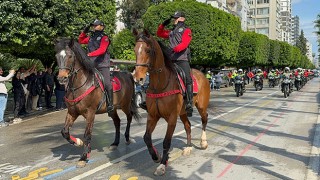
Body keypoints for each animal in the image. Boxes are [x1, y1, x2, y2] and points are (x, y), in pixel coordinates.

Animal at [54, 38, 139, 167]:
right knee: (117, 122)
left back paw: (128, 138)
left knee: (129, 117)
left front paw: (83, 157)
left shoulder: (90, 113)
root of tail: (127, 74)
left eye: (70, 56)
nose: (61, 78)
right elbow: (64, 131)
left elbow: (87, 134)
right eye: (57, 56)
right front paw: (78, 143)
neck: (79, 86)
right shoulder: (72, 112)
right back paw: (115, 143)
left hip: (125, 104)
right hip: (113, 109)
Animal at [132, 29, 210, 176]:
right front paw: (156, 156)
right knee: (188, 126)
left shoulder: (172, 117)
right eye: (135, 50)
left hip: (201, 106)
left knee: (204, 119)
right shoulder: (153, 116)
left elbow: (166, 142)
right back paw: (188, 147)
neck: (160, 84)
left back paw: (203, 142)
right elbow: (146, 138)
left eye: (148, 50)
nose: (138, 78)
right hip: (183, 112)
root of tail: (202, 74)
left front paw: (162, 165)